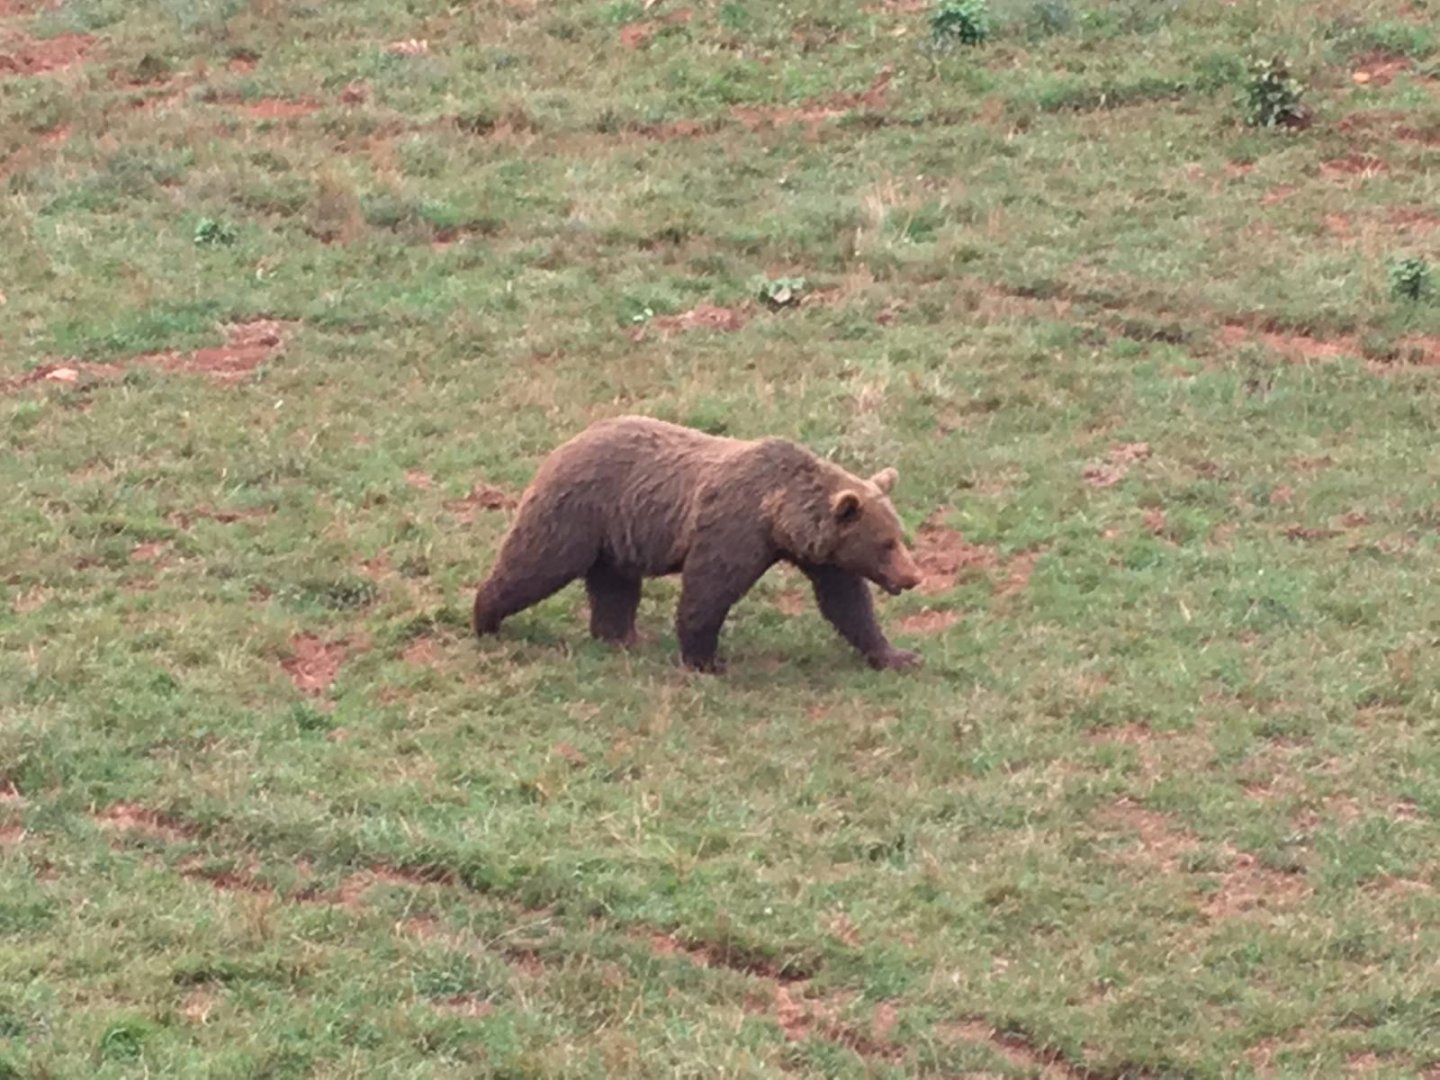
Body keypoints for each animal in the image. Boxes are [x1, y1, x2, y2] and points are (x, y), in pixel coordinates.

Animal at [471, 416, 925, 673]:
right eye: (886, 543)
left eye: (899, 536)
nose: (914, 576)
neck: (779, 518)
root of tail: (568, 442)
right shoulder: (733, 529)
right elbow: (708, 591)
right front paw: (707, 660)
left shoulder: (823, 557)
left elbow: (847, 603)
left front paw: (898, 655)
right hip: (578, 512)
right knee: (536, 563)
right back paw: (486, 619)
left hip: (615, 537)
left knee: (614, 587)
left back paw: (620, 637)